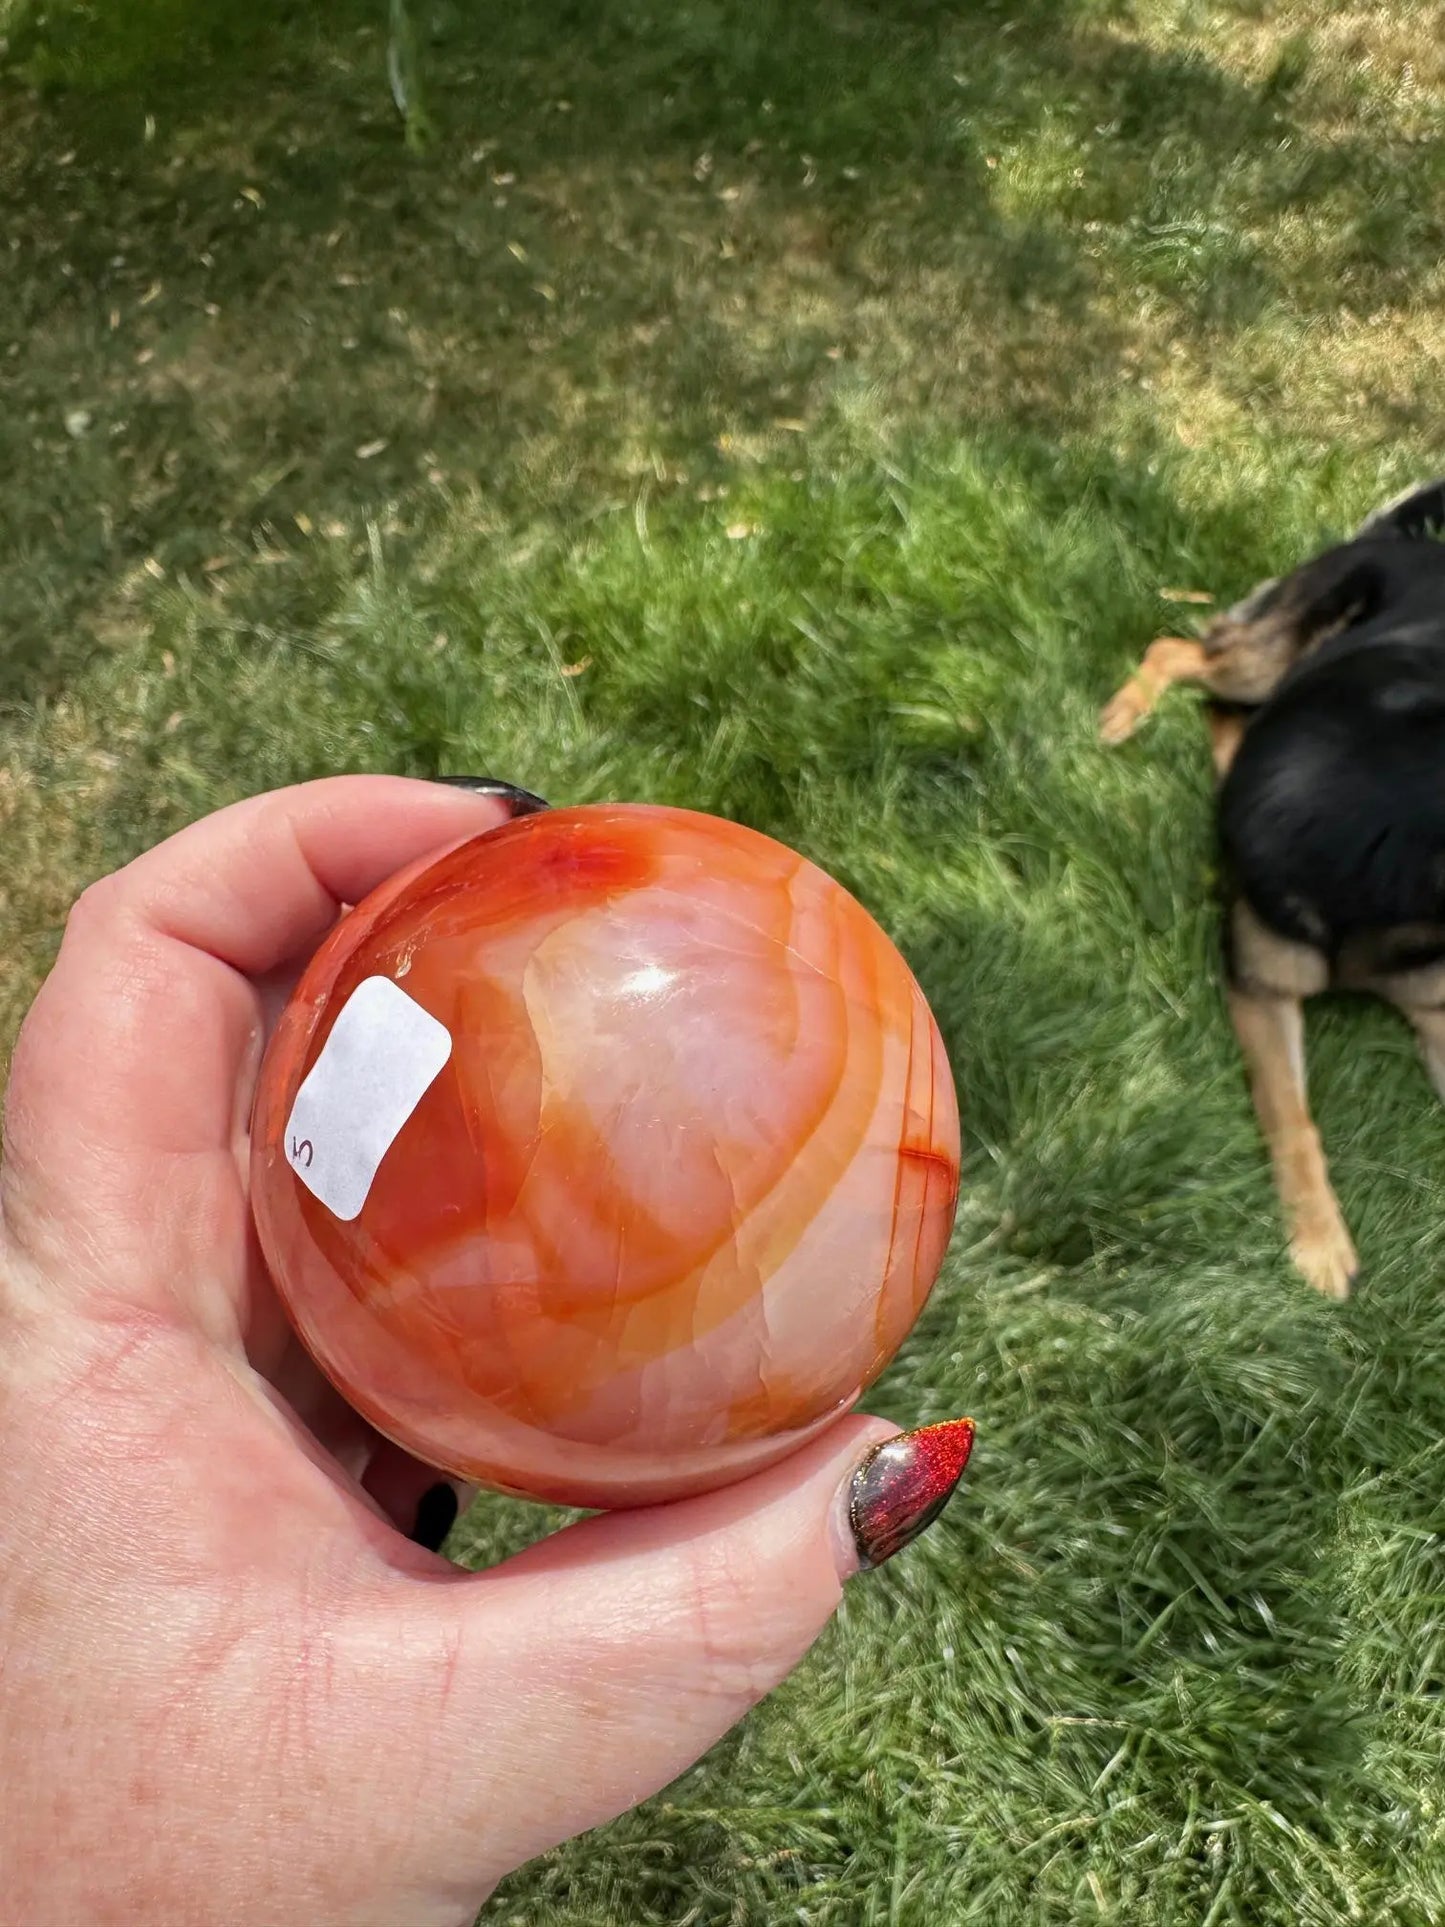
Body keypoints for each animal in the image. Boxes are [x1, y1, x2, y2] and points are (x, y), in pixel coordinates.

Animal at [1102, 475, 1445, 1302]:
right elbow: (1293, 1119)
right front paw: (1318, 1240)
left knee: (1222, 714)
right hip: (1263, 656)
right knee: (1179, 651)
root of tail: (1404, 542)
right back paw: (1125, 711)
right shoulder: (1260, 989)